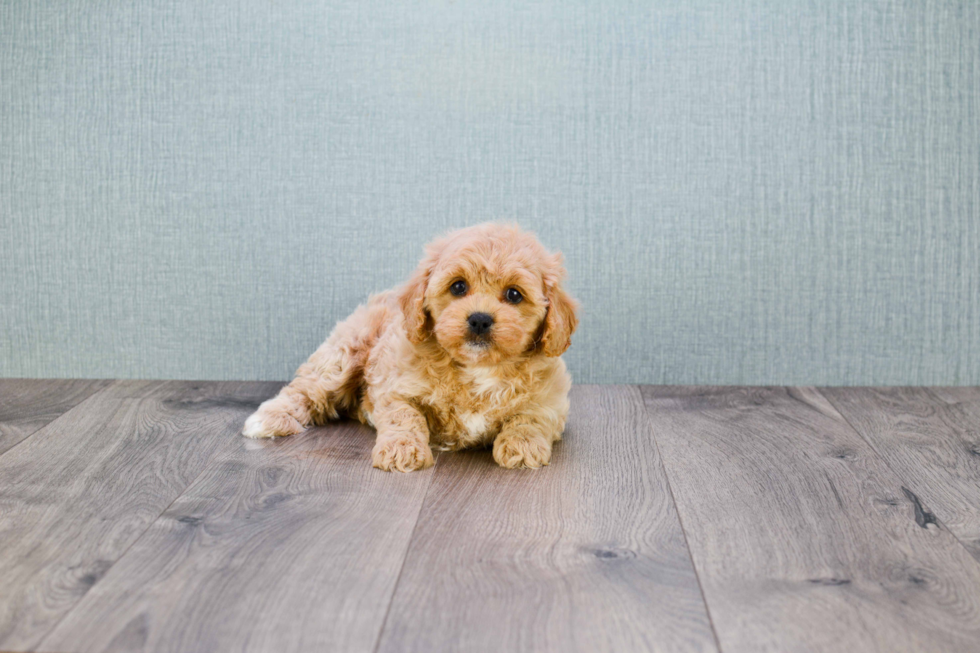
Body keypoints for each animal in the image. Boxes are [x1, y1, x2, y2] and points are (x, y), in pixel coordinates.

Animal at [244, 222, 580, 472]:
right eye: (458, 286)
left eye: (514, 294)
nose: (480, 319)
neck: (478, 368)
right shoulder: (395, 388)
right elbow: (406, 418)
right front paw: (401, 450)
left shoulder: (550, 400)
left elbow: (530, 418)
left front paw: (523, 446)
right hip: (344, 354)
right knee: (305, 389)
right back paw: (268, 418)